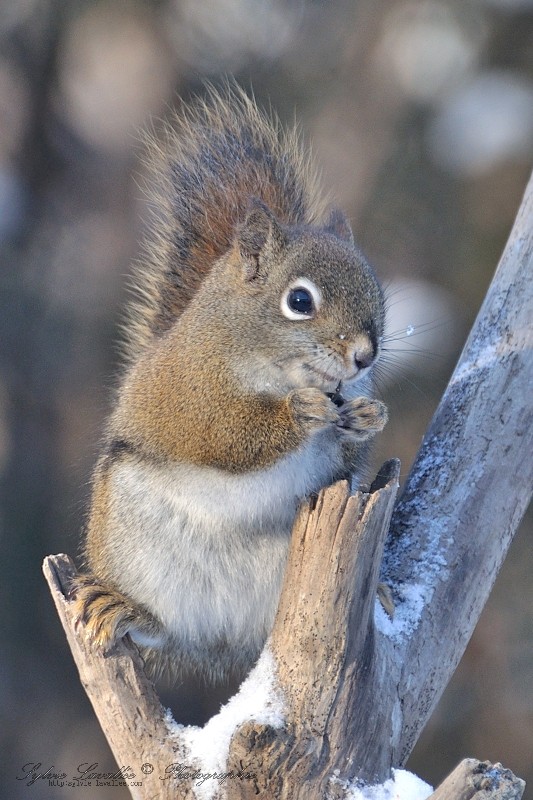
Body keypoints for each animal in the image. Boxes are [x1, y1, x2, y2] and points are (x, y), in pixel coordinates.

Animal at [72, 84, 384, 684]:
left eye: (377, 295)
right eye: (300, 300)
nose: (363, 357)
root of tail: (222, 642)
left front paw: (364, 418)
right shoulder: (188, 394)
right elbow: (223, 437)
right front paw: (301, 414)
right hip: (136, 541)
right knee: (162, 629)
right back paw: (124, 607)